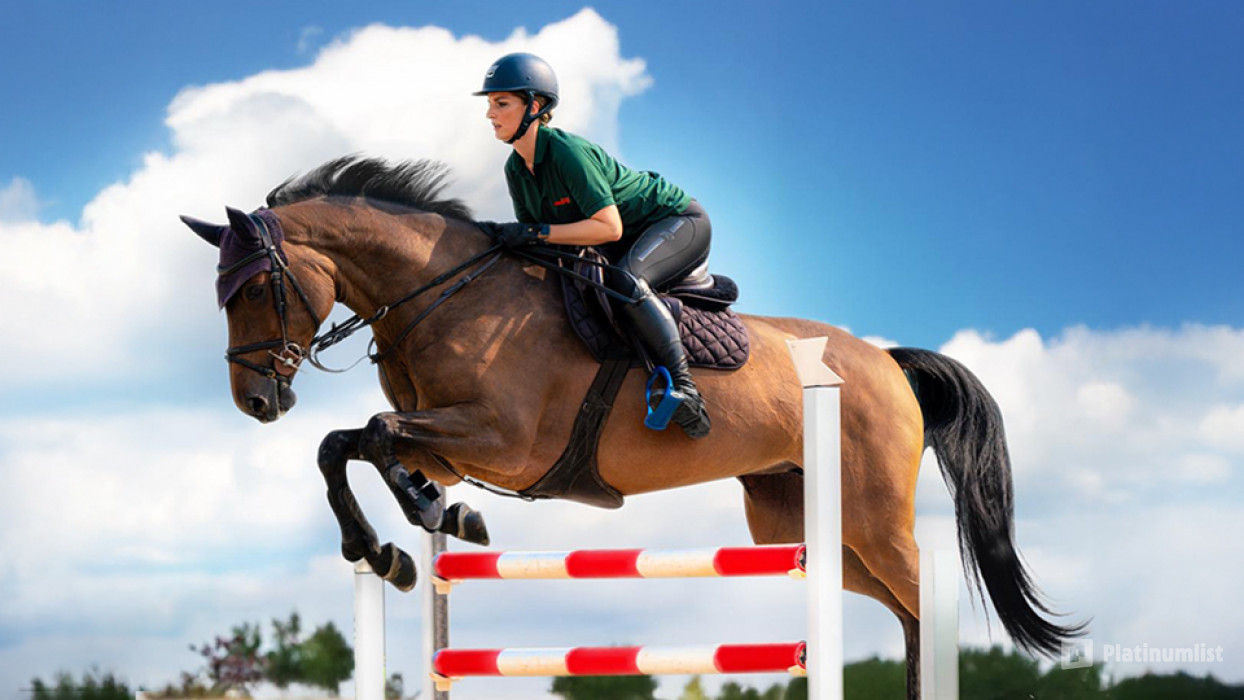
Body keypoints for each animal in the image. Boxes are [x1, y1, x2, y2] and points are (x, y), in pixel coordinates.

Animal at [182, 156, 1083, 699]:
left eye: (254, 289)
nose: (255, 402)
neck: (445, 295)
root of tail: (886, 362)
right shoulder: (447, 438)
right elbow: (353, 445)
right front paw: (407, 542)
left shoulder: (504, 443)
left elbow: (367, 432)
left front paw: (416, 528)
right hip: (800, 529)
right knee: (901, 610)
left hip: (867, 516)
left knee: (925, 596)